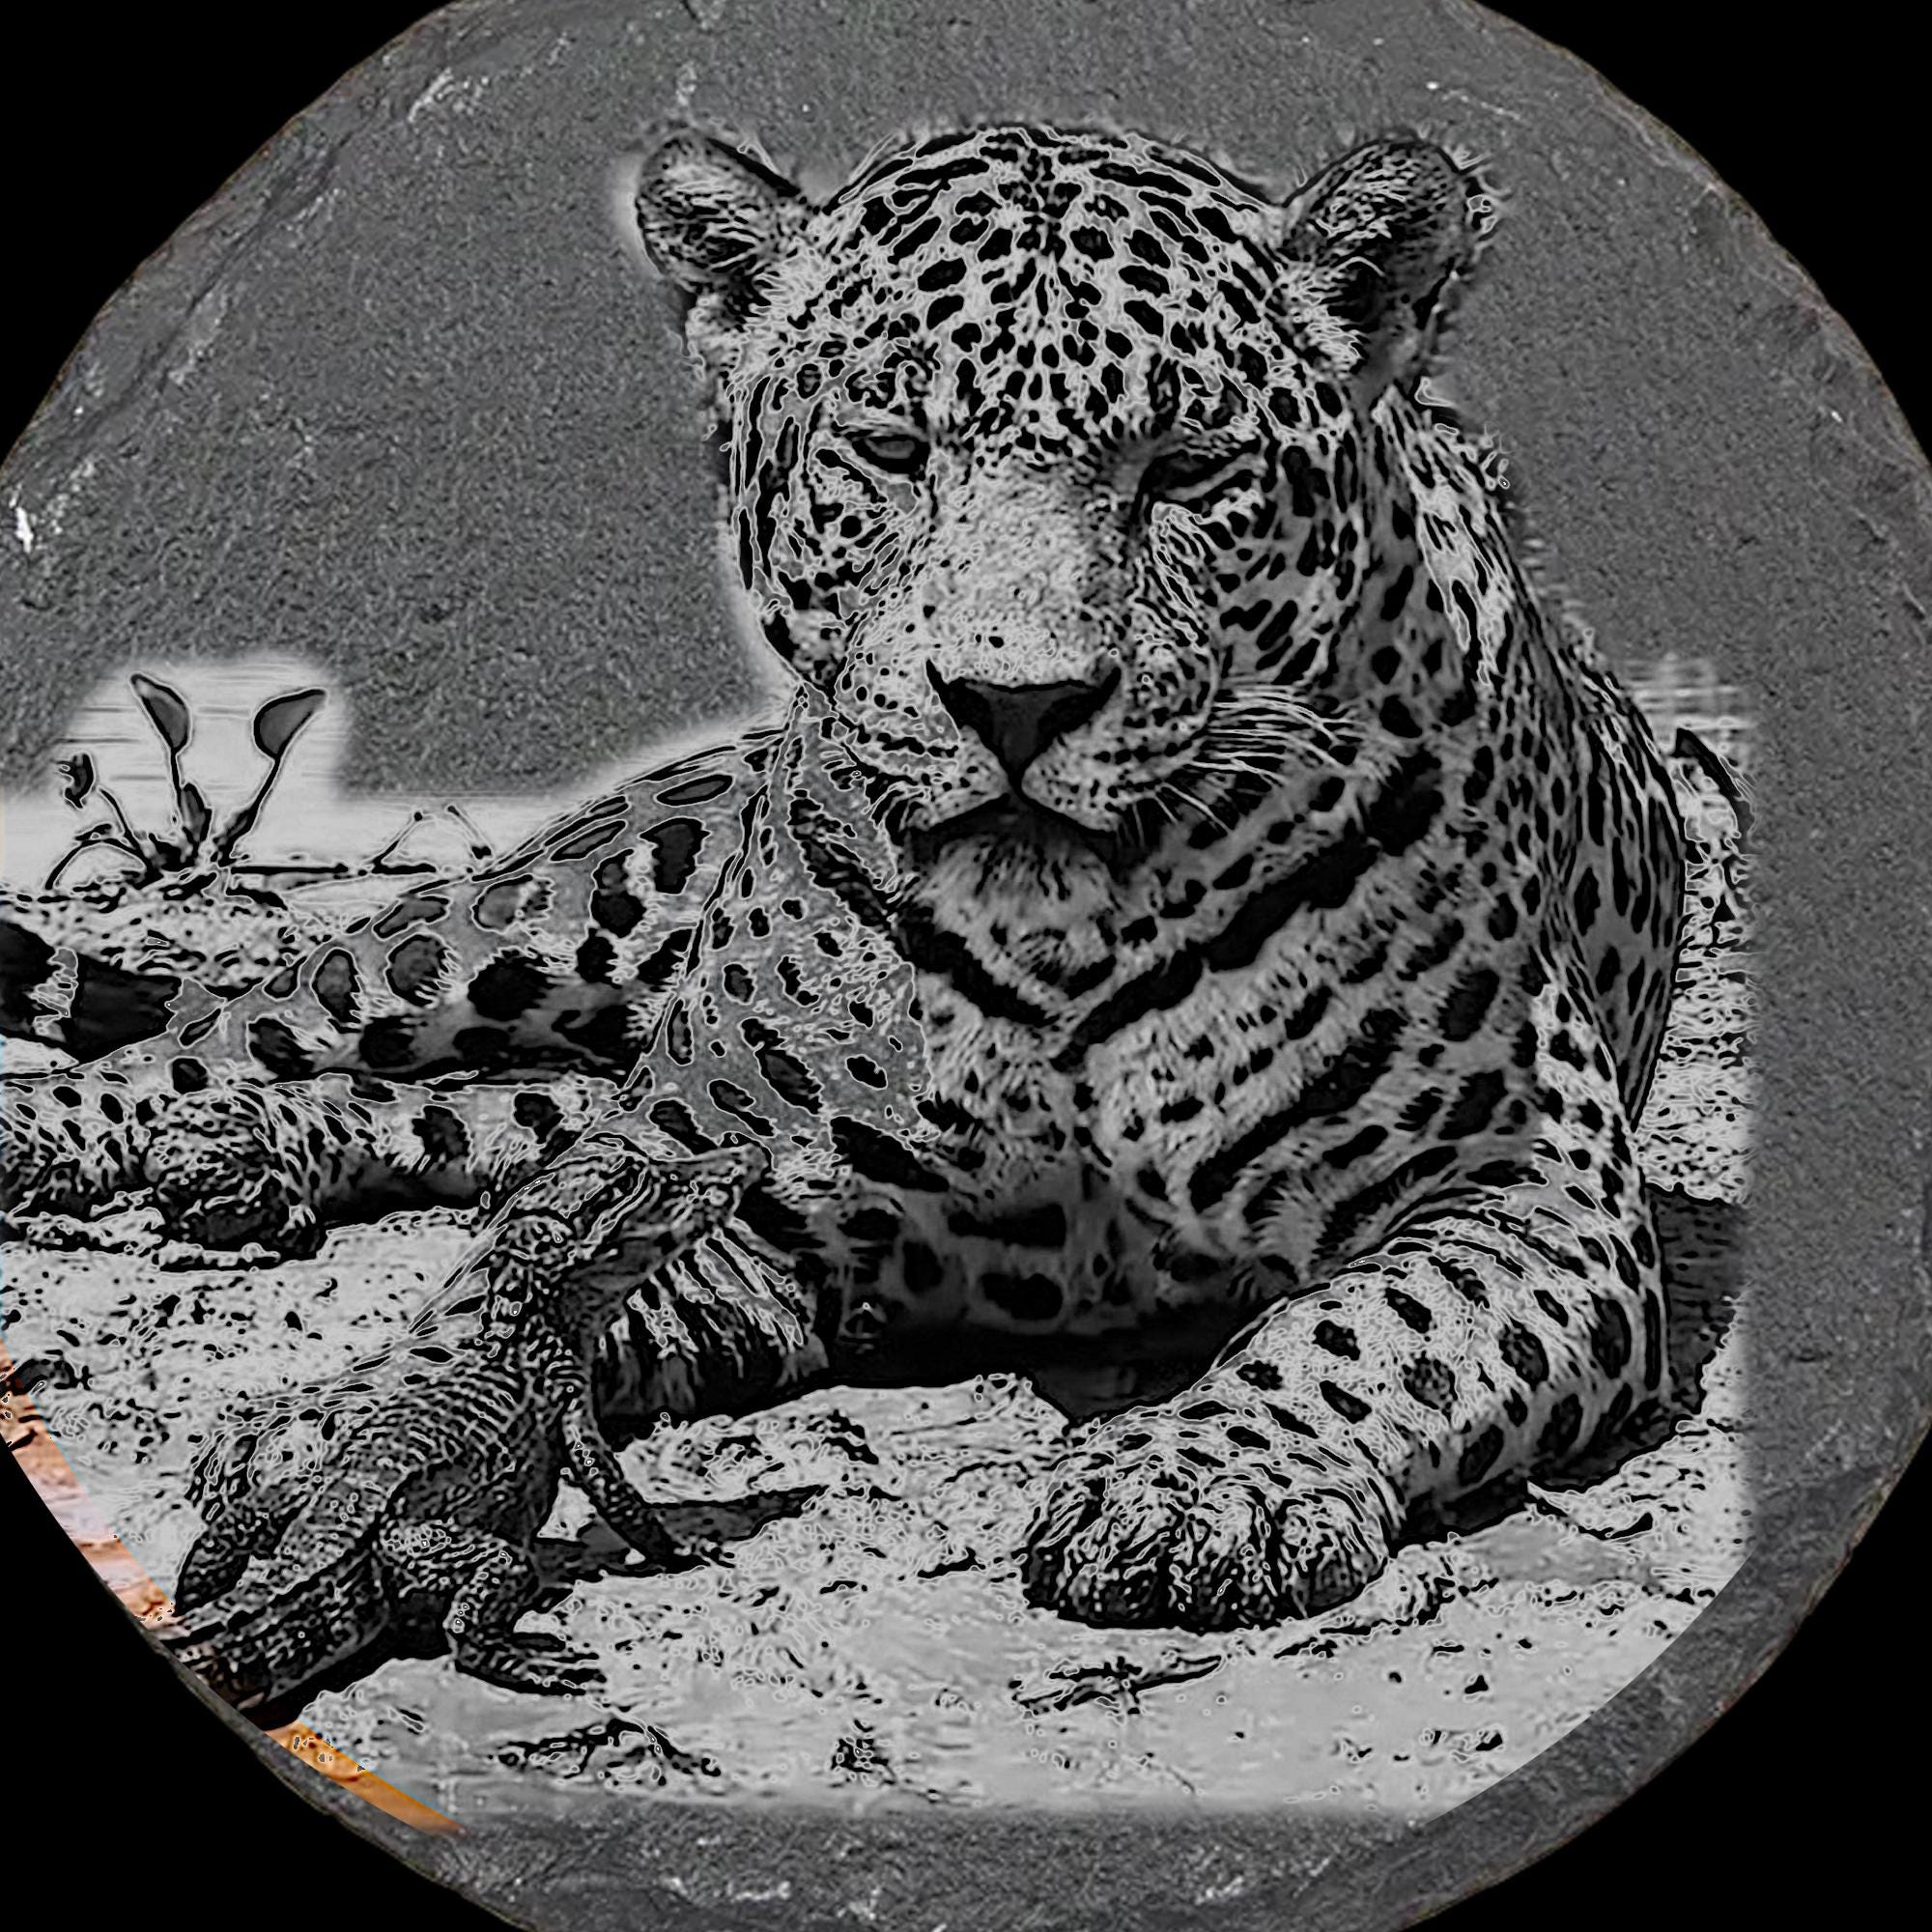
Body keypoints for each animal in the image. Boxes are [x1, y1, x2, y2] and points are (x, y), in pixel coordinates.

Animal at [0, 119, 1687, 1632]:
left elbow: (1357, 1330)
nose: (1018, 703)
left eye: (1186, 469)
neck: (1064, 938)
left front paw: (1203, 1480)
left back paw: (252, 1150)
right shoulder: (748, 1201)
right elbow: (505, 1283)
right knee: (249, 1026)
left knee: (504, 1117)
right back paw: (105, 1132)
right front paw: (362, 1422)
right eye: (891, 452)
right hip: (551, 911)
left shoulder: (1523, 1193)